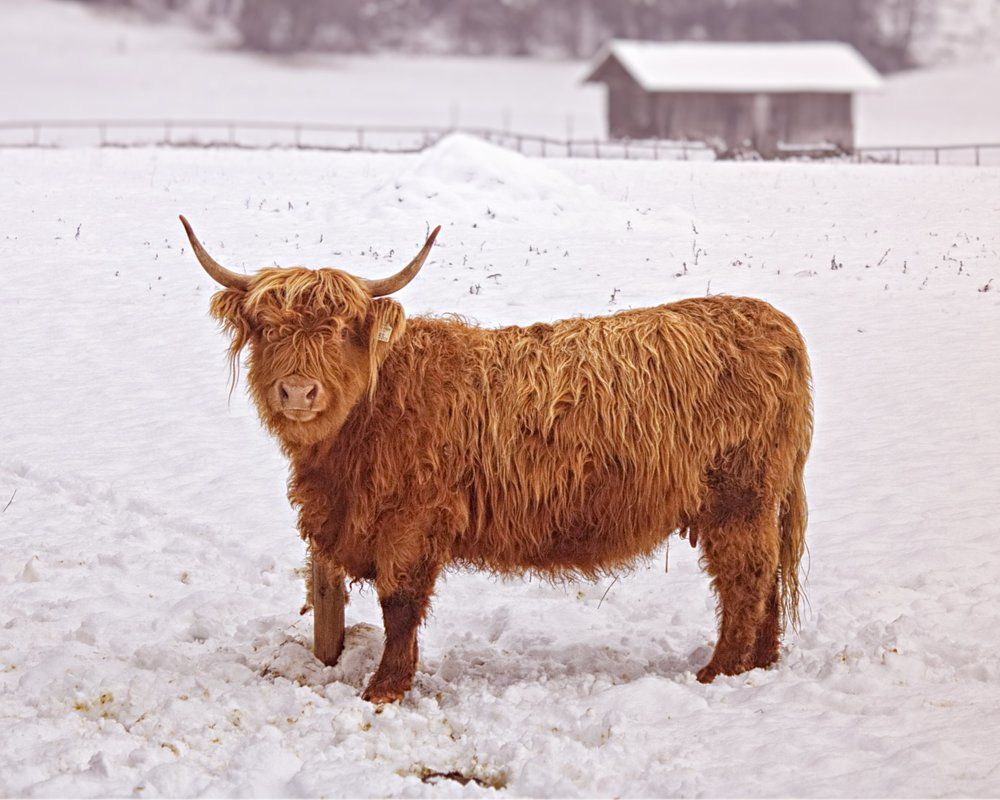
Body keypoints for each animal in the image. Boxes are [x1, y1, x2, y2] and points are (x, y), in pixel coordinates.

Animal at [180, 215, 813, 704]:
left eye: (337, 332)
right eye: (266, 329)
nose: (297, 391)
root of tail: (774, 322)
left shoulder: (412, 520)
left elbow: (399, 604)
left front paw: (384, 689)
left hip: (739, 497)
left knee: (746, 578)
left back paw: (718, 671)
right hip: (757, 501)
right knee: (766, 579)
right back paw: (761, 661)